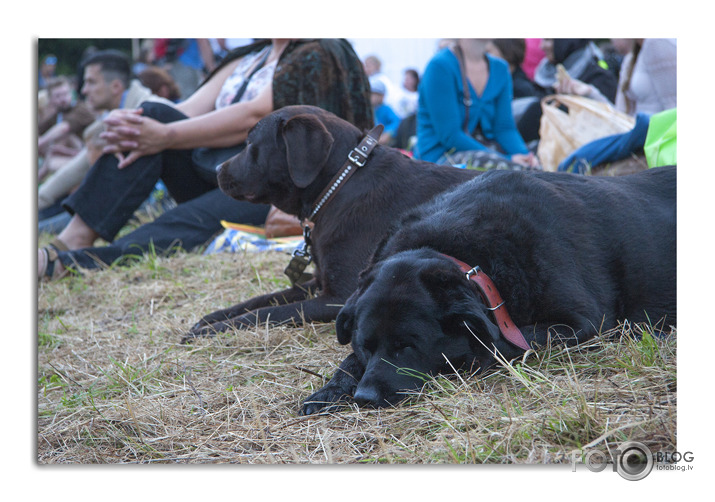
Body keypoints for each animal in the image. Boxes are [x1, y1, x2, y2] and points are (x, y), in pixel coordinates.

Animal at [182, 105, 478, 342]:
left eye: (250, 144)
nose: (218, 170)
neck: (341, 184)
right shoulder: (320, 281)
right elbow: (262, 299)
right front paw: (212, 317)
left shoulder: (338, 298)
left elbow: (268, 312)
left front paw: (212, 330)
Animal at [304, 167, 676, 414]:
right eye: (364, 345)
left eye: (408, 346)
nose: (364, 397)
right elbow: (349, 362)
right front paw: (332, 388)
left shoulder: (582, 323)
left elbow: (496, 344)